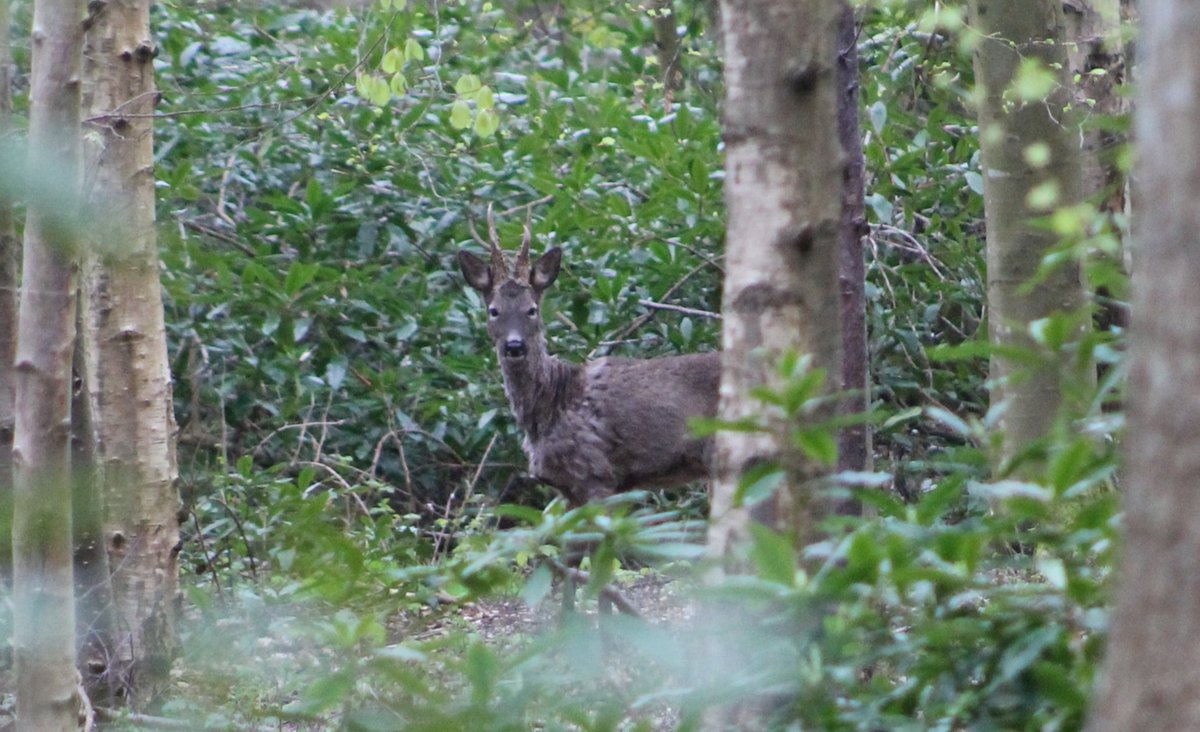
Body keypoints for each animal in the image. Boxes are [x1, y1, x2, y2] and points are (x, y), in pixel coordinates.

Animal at [457, 208, 720, 510]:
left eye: (532, 309)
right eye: (493, 310)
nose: (514, 346)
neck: (551, 402)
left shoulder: (595, 471)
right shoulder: (567, 488)